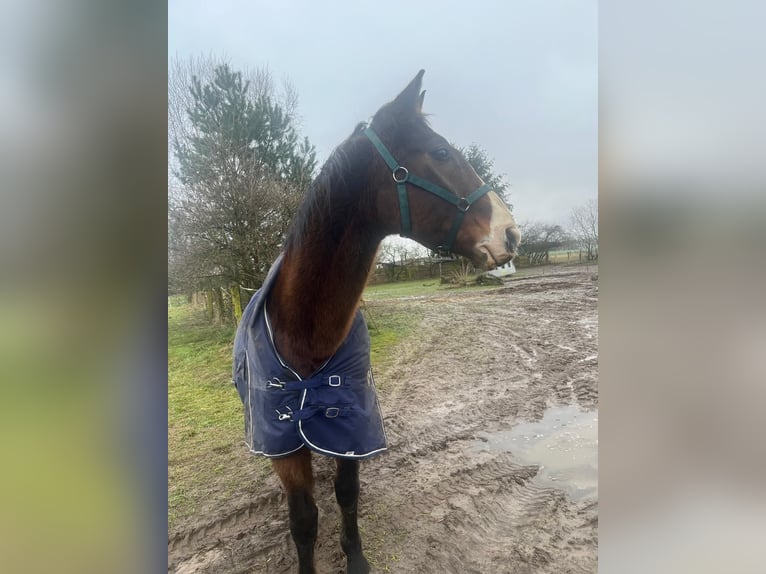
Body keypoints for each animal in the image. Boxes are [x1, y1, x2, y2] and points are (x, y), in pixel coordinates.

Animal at [232, 72, 520, 574]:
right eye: (440, 152)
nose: (511, 233)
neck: (305, 333)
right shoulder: (284, 445)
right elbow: (303, 519)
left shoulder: (352, 426)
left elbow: (347, 493)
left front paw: (356, 557)